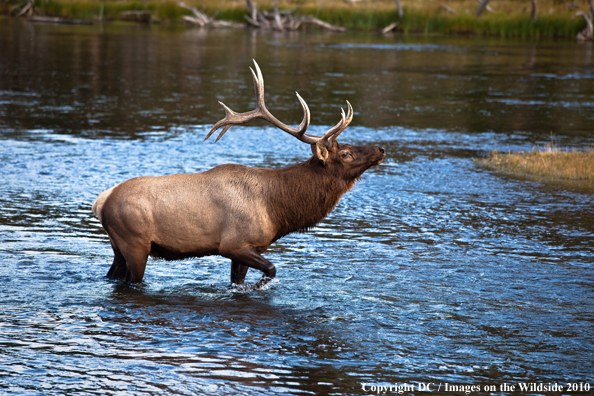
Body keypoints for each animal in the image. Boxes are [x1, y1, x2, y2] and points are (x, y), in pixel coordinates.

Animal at [92, 60, 384, 286]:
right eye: (346, 154)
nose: (380, 149)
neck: (278, 209)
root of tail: (101, 201)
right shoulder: (234, 244)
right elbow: (271, 269)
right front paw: (261, 285)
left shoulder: (247, 249)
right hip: (135, 244)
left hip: (118, 246)